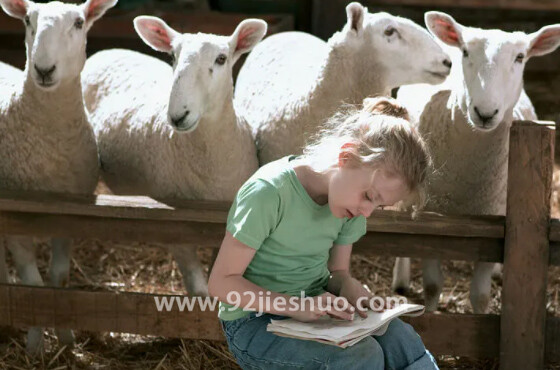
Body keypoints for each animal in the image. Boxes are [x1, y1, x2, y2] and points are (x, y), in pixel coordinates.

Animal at [0, 0, 114, 356]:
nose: (43, 69)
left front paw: (66, 340)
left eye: (78, 23)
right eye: (27, 20)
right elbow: (32, 285)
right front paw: (35, 346)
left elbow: (59, 280)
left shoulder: (69, 216)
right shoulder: (16, 221)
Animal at [81, 15, 266, 298]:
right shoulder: (175, 227)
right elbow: (199, 291)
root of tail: (108, 51)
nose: (178, 115)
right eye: (172, 55)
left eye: (221, 58)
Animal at [392, 11, 560, 314]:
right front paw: (430, 315)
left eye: (520, 57)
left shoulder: (494, 221)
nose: (485, 112)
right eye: (466, 52)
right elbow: (433, 285)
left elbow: (480, 295)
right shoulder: (431, 219)